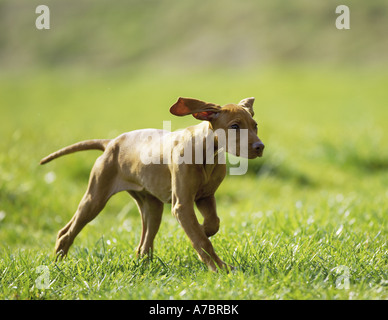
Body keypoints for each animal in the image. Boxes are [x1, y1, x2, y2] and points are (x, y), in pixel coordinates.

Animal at [41, 96, 264, 272]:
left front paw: (204, 229)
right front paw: (219, 268)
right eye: (234, 127)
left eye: (255, 125)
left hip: (151, 206)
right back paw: (58, 264)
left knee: (143, 246)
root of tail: (111, 142)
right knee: (66, 232)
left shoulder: (205, 197)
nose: (260, 147)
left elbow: (212, 223)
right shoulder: (182, 205)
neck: (207, 152)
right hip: (95, 198)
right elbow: (202, 242)